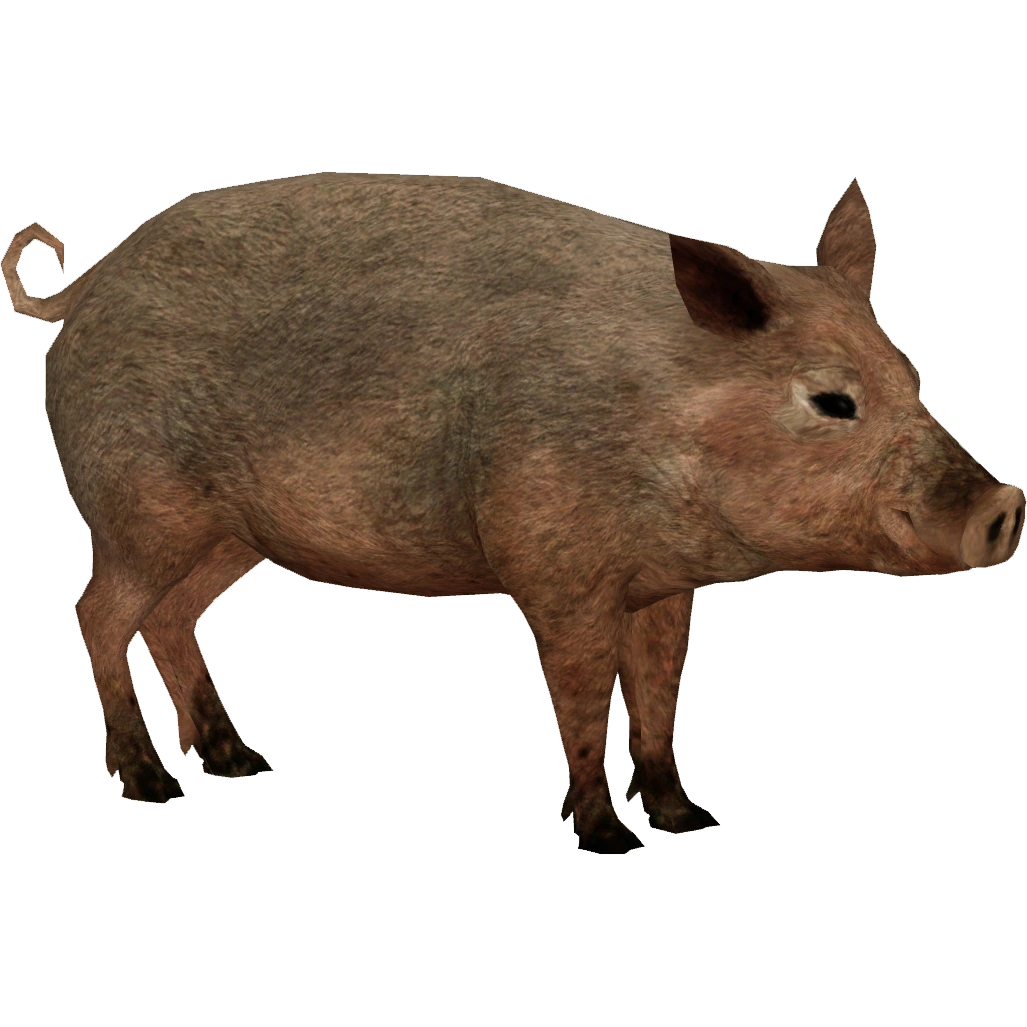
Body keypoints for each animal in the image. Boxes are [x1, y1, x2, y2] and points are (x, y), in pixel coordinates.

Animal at [3, 172, 1022, 855]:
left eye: (911, 374)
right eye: (831, 401)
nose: (1005, 504)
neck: (664, 414)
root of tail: (84, 285)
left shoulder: (664, 586)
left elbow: (661, 690)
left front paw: (692, 820)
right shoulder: (553, 567)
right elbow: (581, 693)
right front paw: (608, 840)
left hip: (228, 536)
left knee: (171, 619)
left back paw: (243, 761)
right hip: (138, 509)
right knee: (96, 612)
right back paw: (153, 788)